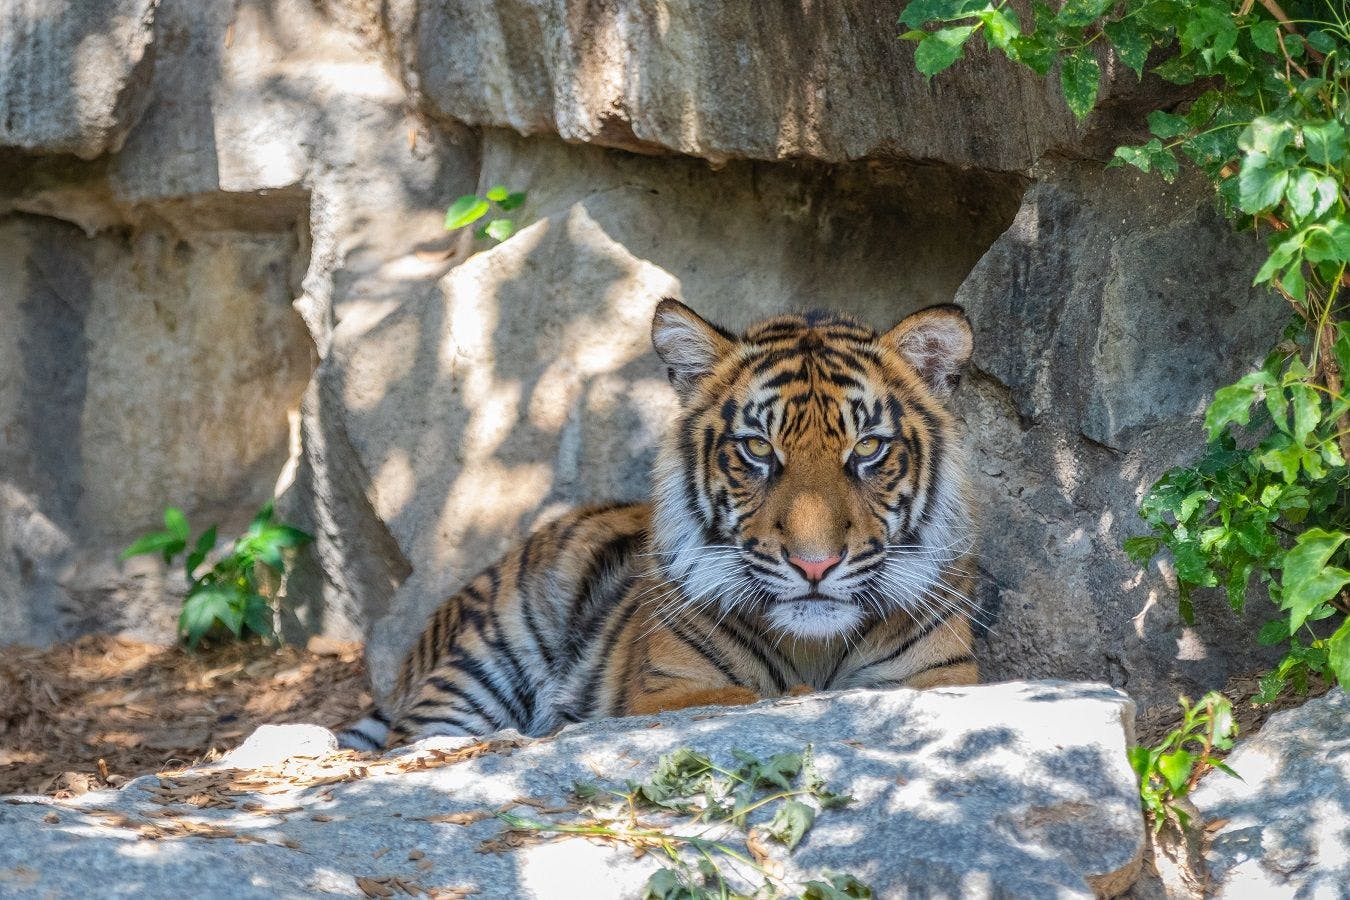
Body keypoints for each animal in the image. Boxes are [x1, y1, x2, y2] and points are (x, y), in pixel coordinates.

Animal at [338, 299, 981, 750]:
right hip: (486, 653)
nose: (814, 564)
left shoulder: (942, 677)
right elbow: (744, 697)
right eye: (757, 448)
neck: (815, 650)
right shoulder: (668, 692)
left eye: (868, 448)